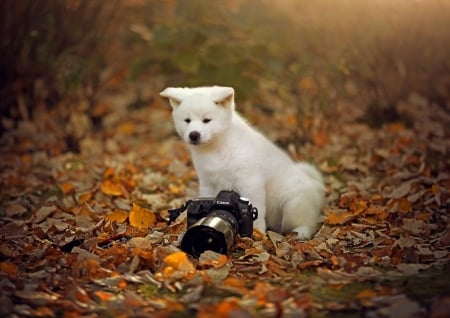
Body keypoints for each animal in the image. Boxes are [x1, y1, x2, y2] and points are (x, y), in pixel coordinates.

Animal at [160, 85, 326, 240]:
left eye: (206, 120)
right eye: (187, 120)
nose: (194, 135)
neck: (217, 148)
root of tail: (316, 184)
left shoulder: (250, 181)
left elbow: (257, 210)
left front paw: (257, 233)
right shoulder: (208, 182)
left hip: (293, 202)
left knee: (306, 222)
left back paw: (301, 233)